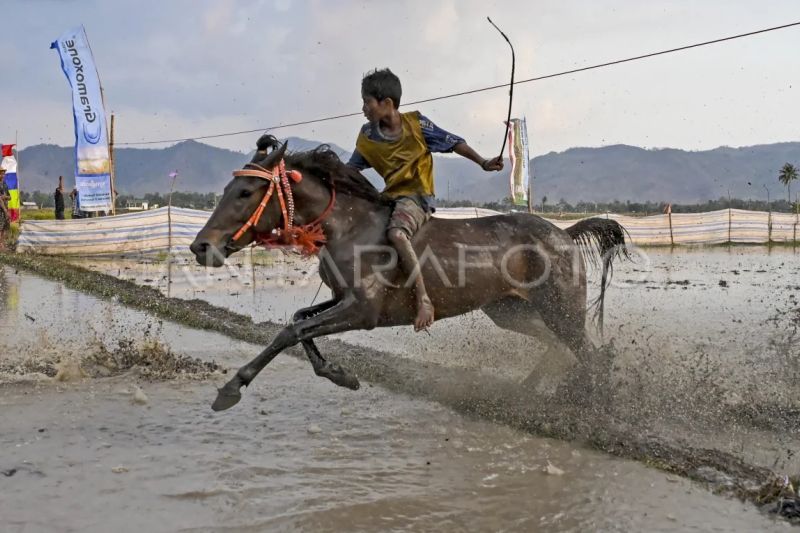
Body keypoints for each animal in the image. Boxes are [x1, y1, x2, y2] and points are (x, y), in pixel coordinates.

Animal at [191, 135, 628, 410]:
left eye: (245, 192)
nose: (201, 247)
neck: (348, 227)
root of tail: (563, 233)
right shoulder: (342, 300)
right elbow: (298, 321)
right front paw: (340, 374)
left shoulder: (363, 311)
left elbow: (291, 331)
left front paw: (231, 388)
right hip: (510, 311)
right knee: (562, 347)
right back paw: (532, 393)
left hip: (560, 309)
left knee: (593, 354)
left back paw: (593, 404)